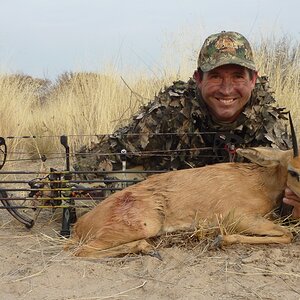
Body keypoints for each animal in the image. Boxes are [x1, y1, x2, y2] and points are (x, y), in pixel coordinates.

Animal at [67, 125, 300, 258]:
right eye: (293, 171)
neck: (261, 183)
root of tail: (80, 224)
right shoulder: (238, 218)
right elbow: (289, 234)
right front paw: (220, 240)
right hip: (145, 226)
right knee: (79, 252)